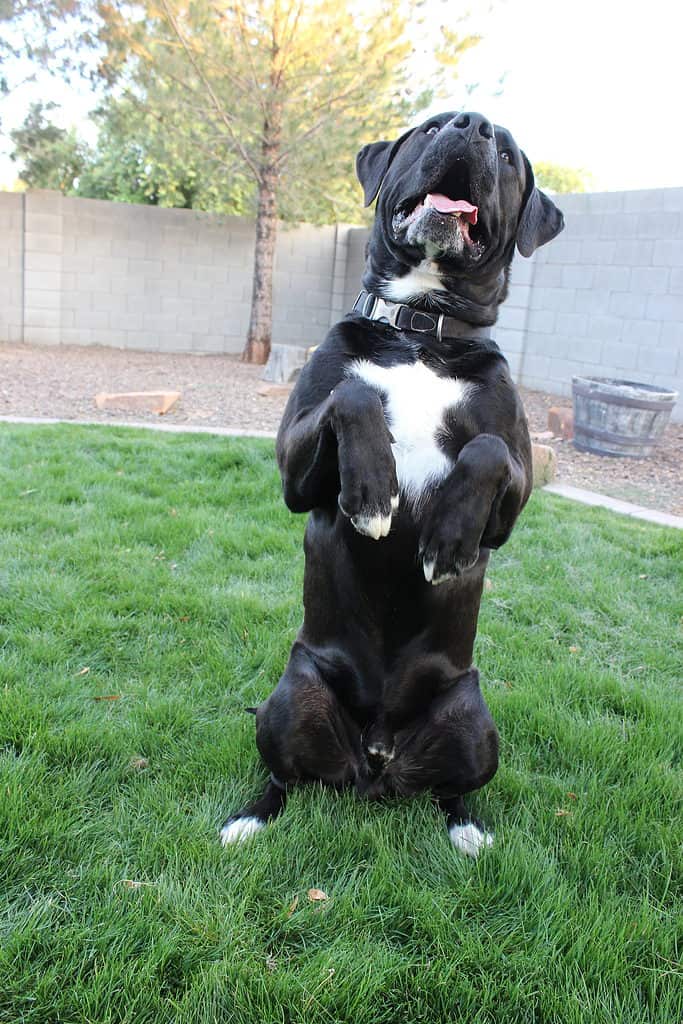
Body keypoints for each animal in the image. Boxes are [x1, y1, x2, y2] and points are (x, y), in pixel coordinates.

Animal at [222, 108, 565, 856]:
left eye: (505, 153)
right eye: (432, 127)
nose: (470, 126)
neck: (420, 334)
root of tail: (375, 762)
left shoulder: (513, 494)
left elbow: (486, 449)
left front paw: (445, 541)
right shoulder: (294, 466)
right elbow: (353, 398)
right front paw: (373, 496)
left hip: (472, 720)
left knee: (449, 789)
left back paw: (468, 832)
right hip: (292, 696)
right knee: (284, 777)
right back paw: (247, 820)